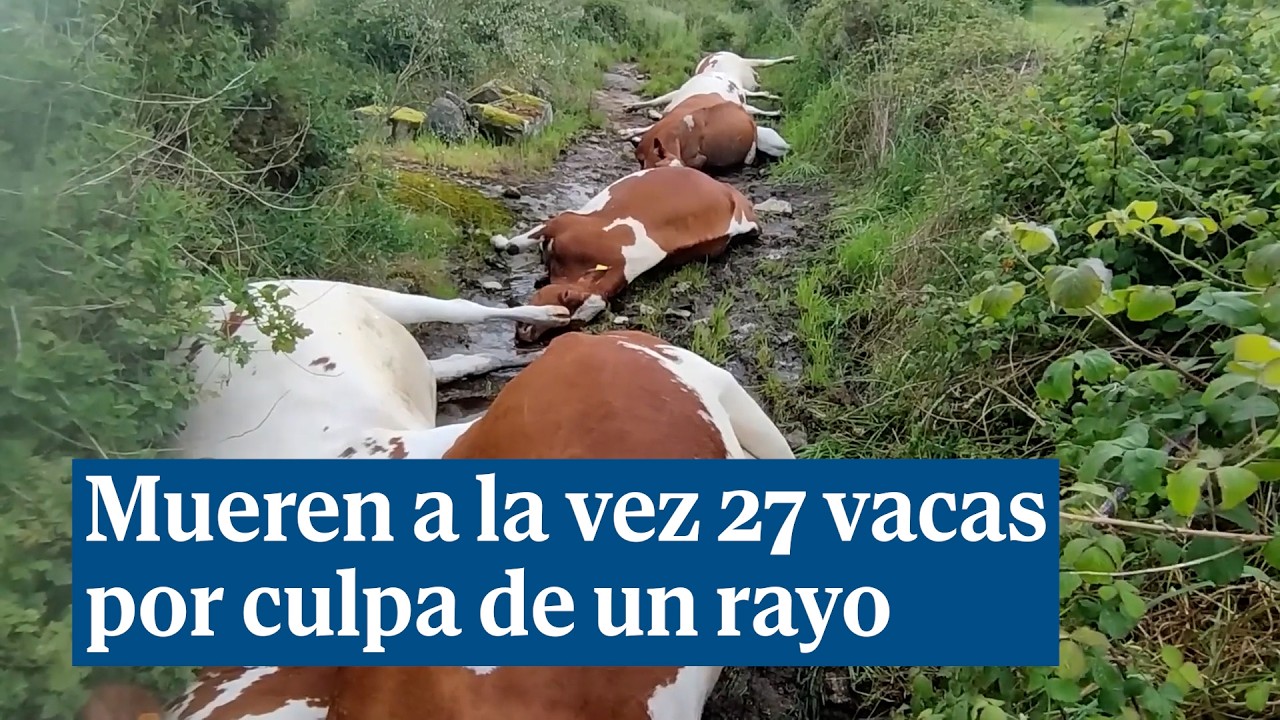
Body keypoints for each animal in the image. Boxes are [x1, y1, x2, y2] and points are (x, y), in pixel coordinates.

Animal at [486, 166, 759, 344]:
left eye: (568, 322)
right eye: (566, 298)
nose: (526, 336)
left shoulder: (565, 221)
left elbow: (518, 243)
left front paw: (499, 241)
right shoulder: (563, 221)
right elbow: (521, 242)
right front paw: (501, 242)